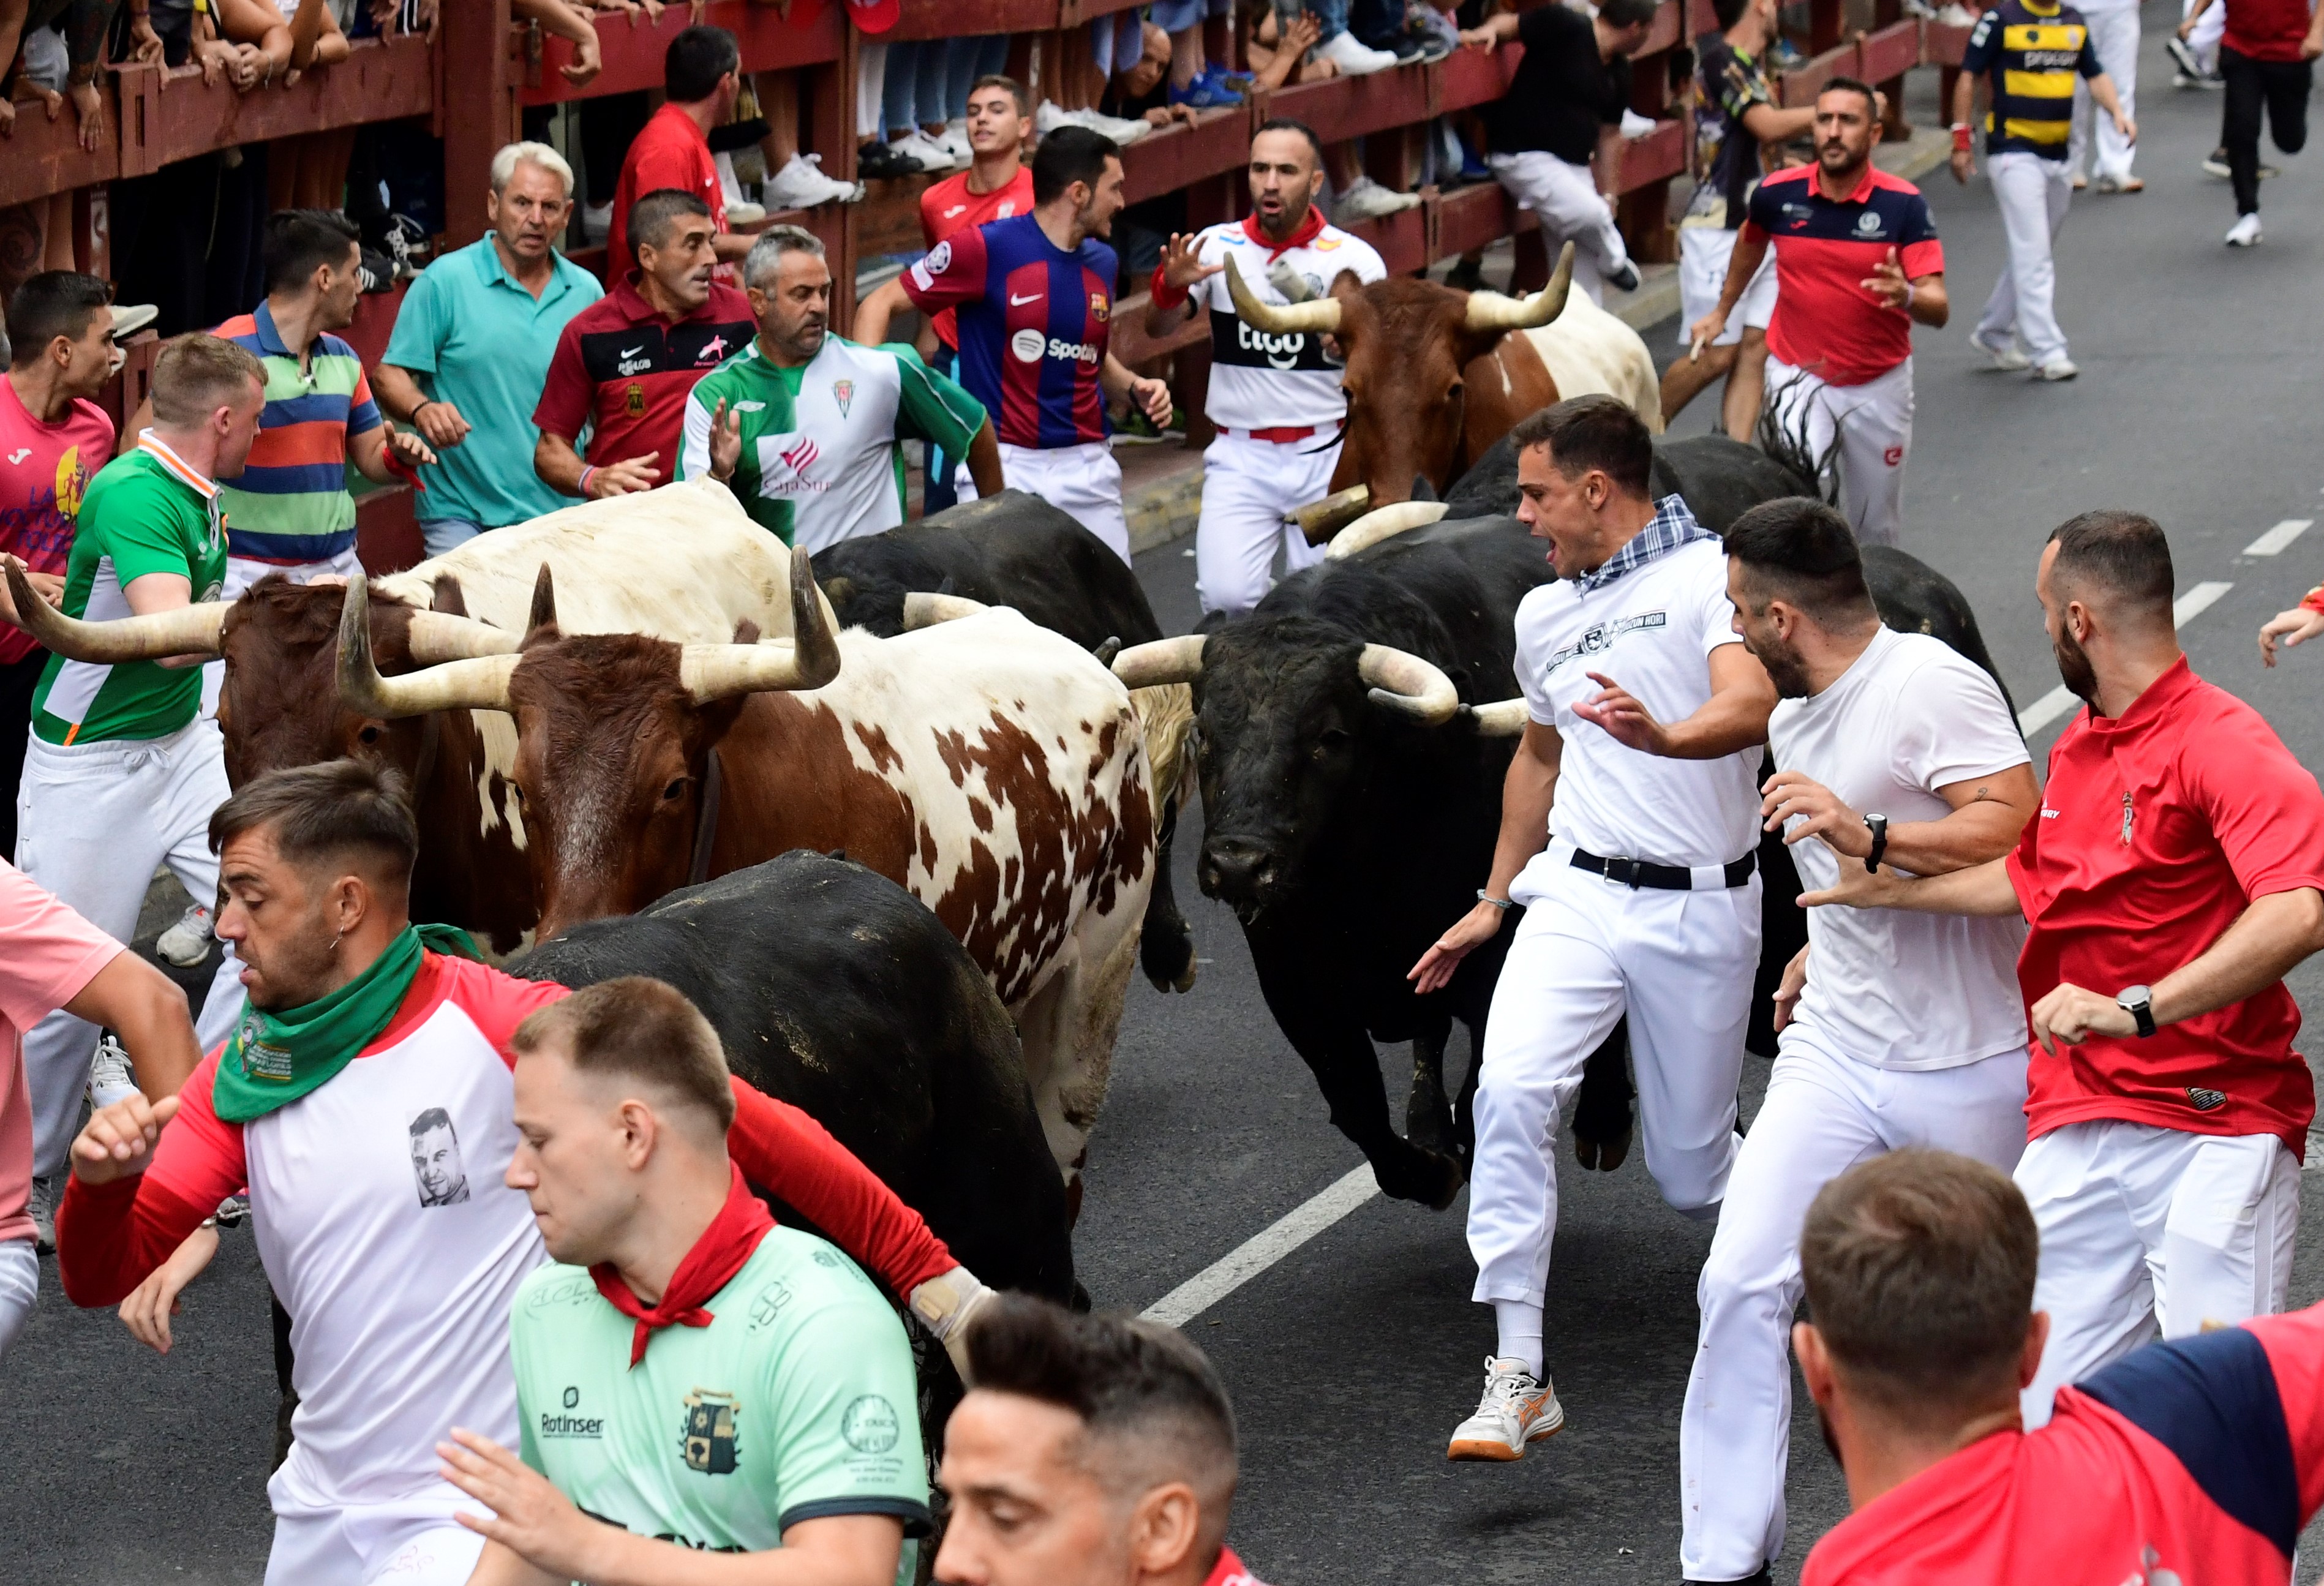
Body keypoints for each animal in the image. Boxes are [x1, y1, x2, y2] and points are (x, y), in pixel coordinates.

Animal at [1190, 462, 2007, 1200]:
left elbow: (1479, 1090)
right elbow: (1364, 1113)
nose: (1239, 863)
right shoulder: (1298, 989)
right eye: (1203, 734)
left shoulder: (1493, 972)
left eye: (1330, 737)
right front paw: (1432, 1159)